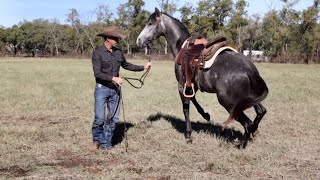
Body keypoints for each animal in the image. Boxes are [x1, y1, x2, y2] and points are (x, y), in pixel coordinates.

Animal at [136, 7, 268, 147]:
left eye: (150, 23)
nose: (139, 40)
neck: (181, 46)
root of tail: (249, 71)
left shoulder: (181, 85)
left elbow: (186, 108)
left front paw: (188, 135)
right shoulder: (192, 84)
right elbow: (193, 99)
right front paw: (206, 115)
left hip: (229, 103)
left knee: (247, 123)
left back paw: (241, 143)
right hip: (248, 99)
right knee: (260, 112)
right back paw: (253, 132)